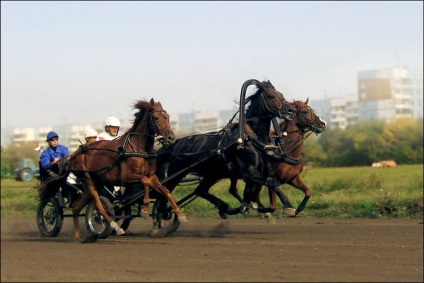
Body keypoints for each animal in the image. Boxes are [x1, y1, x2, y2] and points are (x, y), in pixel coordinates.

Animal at [38, 98, 187, 242]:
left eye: (167, 117)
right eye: (156, 118)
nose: (170, 138)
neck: (137, 149)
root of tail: (74, 155)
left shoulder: (152, 176)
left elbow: (166, 191)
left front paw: (180, 214)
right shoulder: (127, 177)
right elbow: (144, 182)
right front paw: (145, 210)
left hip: (94, 183)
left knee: (76, 207)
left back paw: (79, 236)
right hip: (88, 180)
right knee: (99, 206)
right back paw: (115, 226)